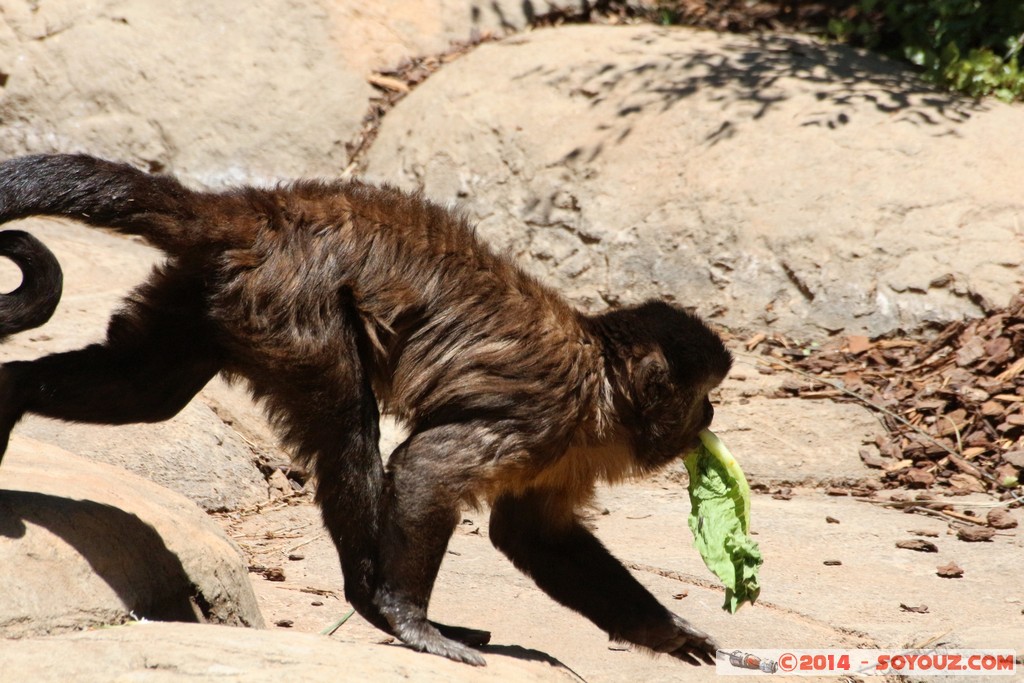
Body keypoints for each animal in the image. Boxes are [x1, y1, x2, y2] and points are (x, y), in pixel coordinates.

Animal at [2, 152, 737, 663]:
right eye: (703, 396)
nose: (708, 420)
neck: (603, 386)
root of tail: (264, 208)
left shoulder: (567, 447)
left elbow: (535, 535)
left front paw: (669, 633)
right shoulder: (549, 415)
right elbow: (427, 468)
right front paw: (407, 616)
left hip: (216, 291)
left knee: (149, 391)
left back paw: (12, 390)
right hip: (293, 305)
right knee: (349, 433)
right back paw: (375, 603)